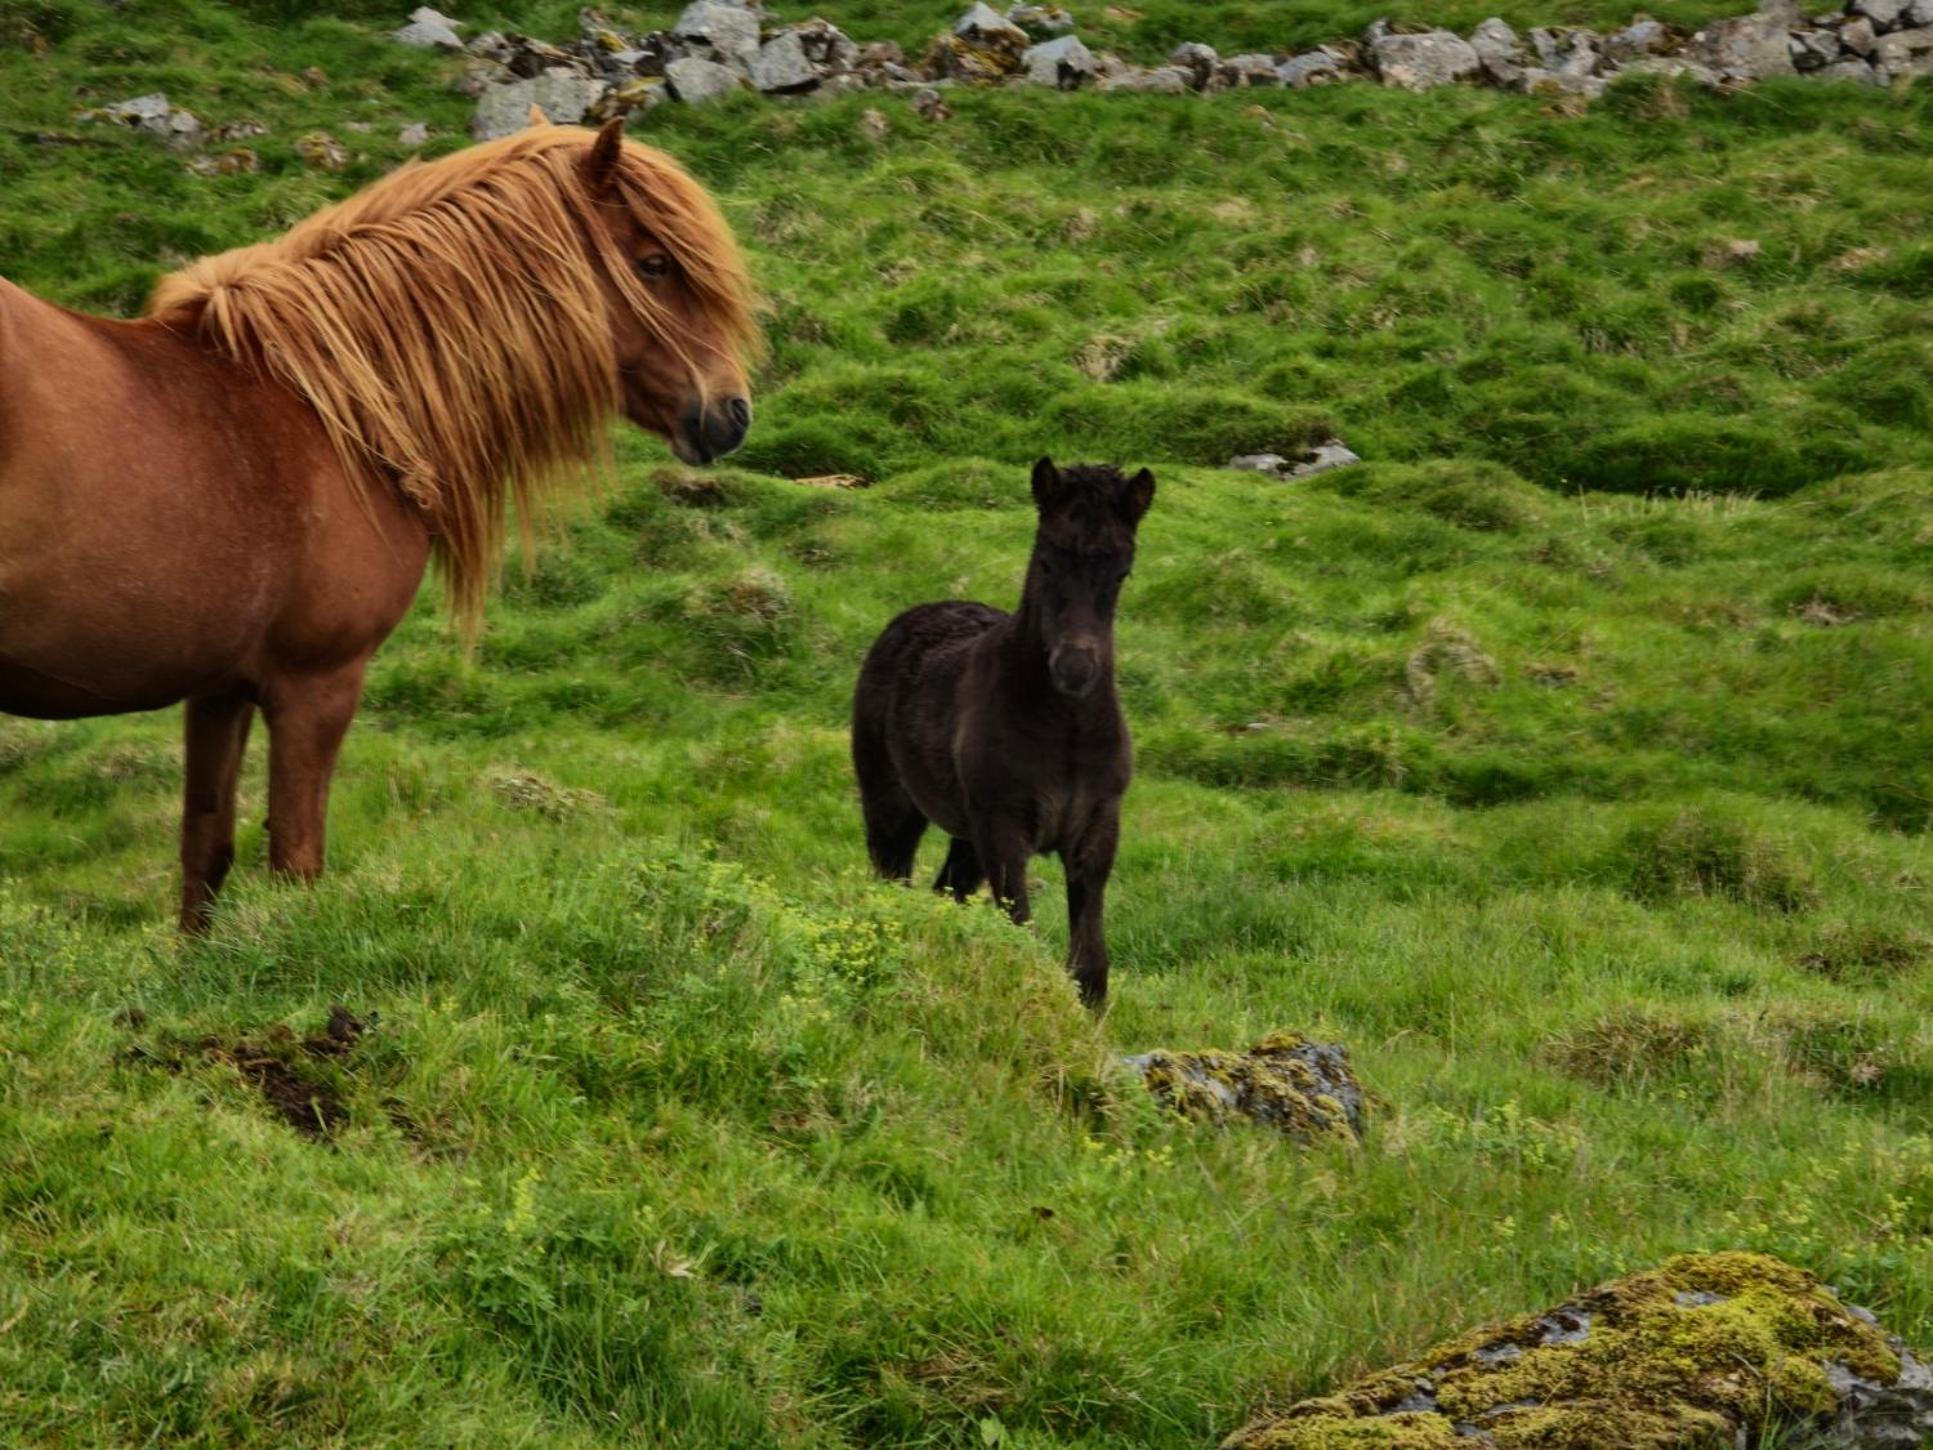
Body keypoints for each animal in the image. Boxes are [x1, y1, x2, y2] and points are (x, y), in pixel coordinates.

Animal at [0, 116, 757, 931]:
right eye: (654, 264)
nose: (732, 412)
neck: (330, 408)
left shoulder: (220, 688)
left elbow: (205, 860)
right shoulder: (318, 684)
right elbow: (296, 865)